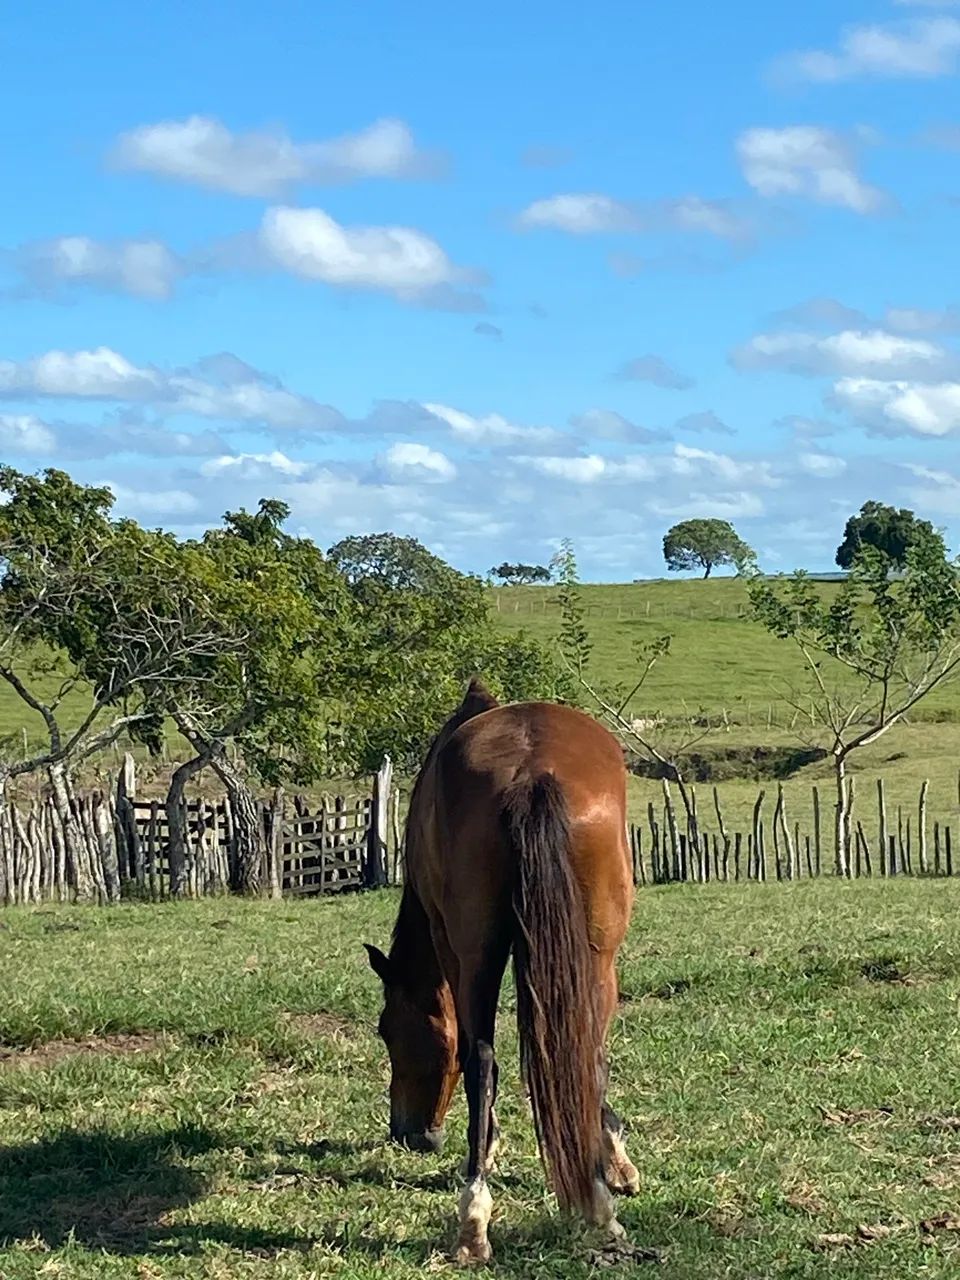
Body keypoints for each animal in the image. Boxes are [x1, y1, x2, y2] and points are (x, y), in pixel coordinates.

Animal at [364, 679, 639, 1264]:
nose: (409, 1134)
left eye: (388, 1031)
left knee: (483, 1059)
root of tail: (532, 775)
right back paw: (596, 1206)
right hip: (596, 957)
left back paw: (475, 1217)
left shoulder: (449, 945)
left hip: (477, 956)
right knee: (584, 1051)